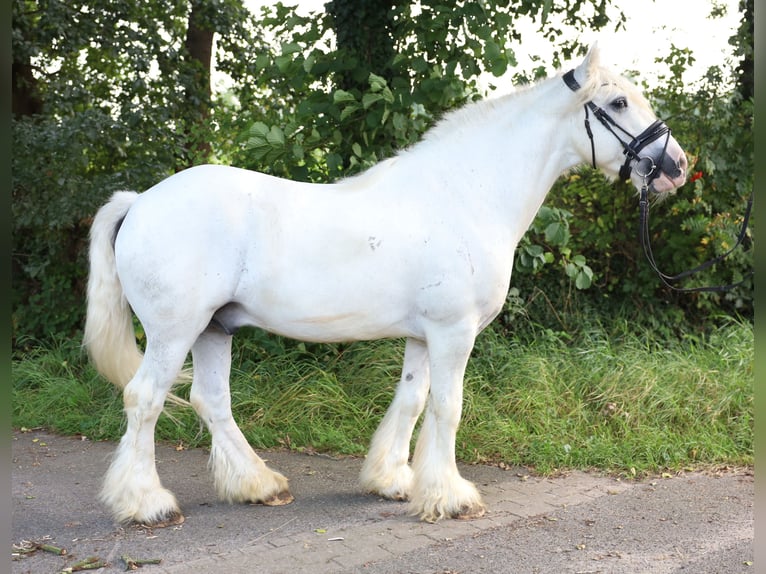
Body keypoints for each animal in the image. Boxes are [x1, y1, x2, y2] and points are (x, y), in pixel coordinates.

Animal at [84, 47, 688, 528]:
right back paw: (147, 503)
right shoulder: (453, 332)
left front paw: (395, 480)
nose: (677, 166)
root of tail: (140, 201)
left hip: (214, 329)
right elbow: (448, 406)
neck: (466, 192)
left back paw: (260, 484)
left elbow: (413, 399)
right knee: (144, 399)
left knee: (210, 401)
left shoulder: (424, 335)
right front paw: (451, 496)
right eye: (617, 103)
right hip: (174, 331)